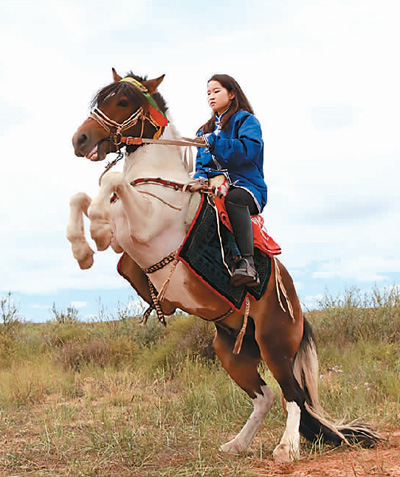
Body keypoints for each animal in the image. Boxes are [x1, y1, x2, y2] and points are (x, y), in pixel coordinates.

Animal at [67, 69, 380, 460]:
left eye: (123, 101)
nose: (80, 140)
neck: (158, 182)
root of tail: (297, 310)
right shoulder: (122, 235)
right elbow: (82, 198)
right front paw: (83, 250)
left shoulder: (144, 227)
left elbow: (110, 181)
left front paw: (92, 229)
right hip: (232, 351)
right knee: (265, 396)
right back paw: (237, 444)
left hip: (274, 345)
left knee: (294, 396)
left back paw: (287, 448)